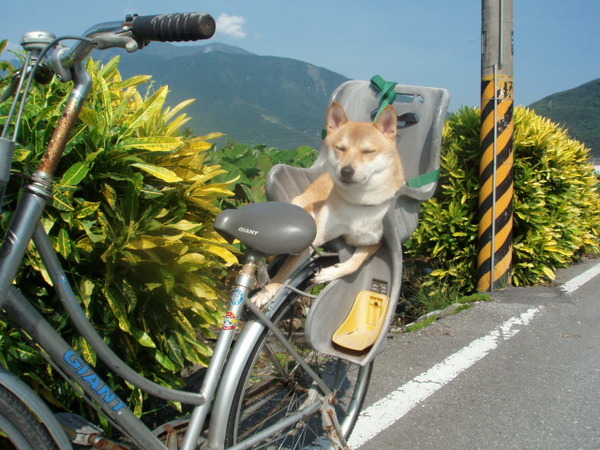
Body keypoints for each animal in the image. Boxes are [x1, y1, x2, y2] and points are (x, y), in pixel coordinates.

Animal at [251, 100, 406, 308]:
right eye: (340, 148)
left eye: (368, 151)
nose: (346, 171)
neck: (357, 204)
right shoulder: (315, 237)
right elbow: (286, 270)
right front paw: (266, 292)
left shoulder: (375, 243)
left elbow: (354, 263)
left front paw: (330, 272)